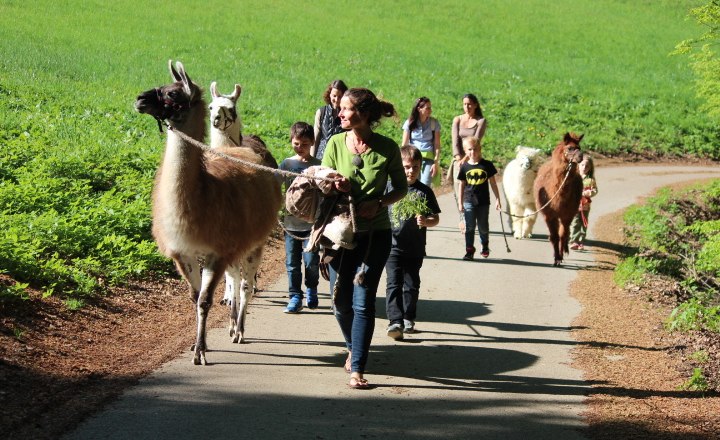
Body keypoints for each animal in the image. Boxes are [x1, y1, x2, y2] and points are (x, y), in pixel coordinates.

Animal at [532, 132, 584, 266]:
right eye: (570, 148)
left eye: (579, 147)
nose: (581, 156)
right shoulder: (549, 215)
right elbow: (554, 236)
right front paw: (556, 259)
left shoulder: (567, 214)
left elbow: (562, 235)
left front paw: (560, 256)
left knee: (565, 232)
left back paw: (565, 249)